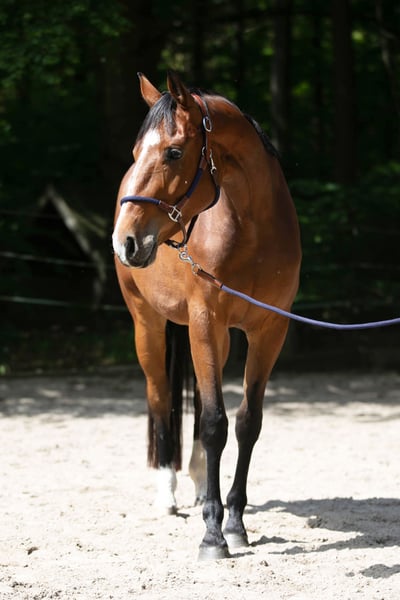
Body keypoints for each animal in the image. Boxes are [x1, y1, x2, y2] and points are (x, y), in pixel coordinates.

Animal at [112, 71, 301, 559]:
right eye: (136, 152)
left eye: (174, 152)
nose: (125, 241)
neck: (251, 229)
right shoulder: (204, 321)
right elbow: (217, 423)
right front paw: (213, 534)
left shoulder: (270, 331)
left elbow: (247, 422)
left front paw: (233, 521)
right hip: (149, 326)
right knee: (160, 397)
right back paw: (168, 493)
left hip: (220, 338)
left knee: (198, 400)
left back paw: (200, 485)